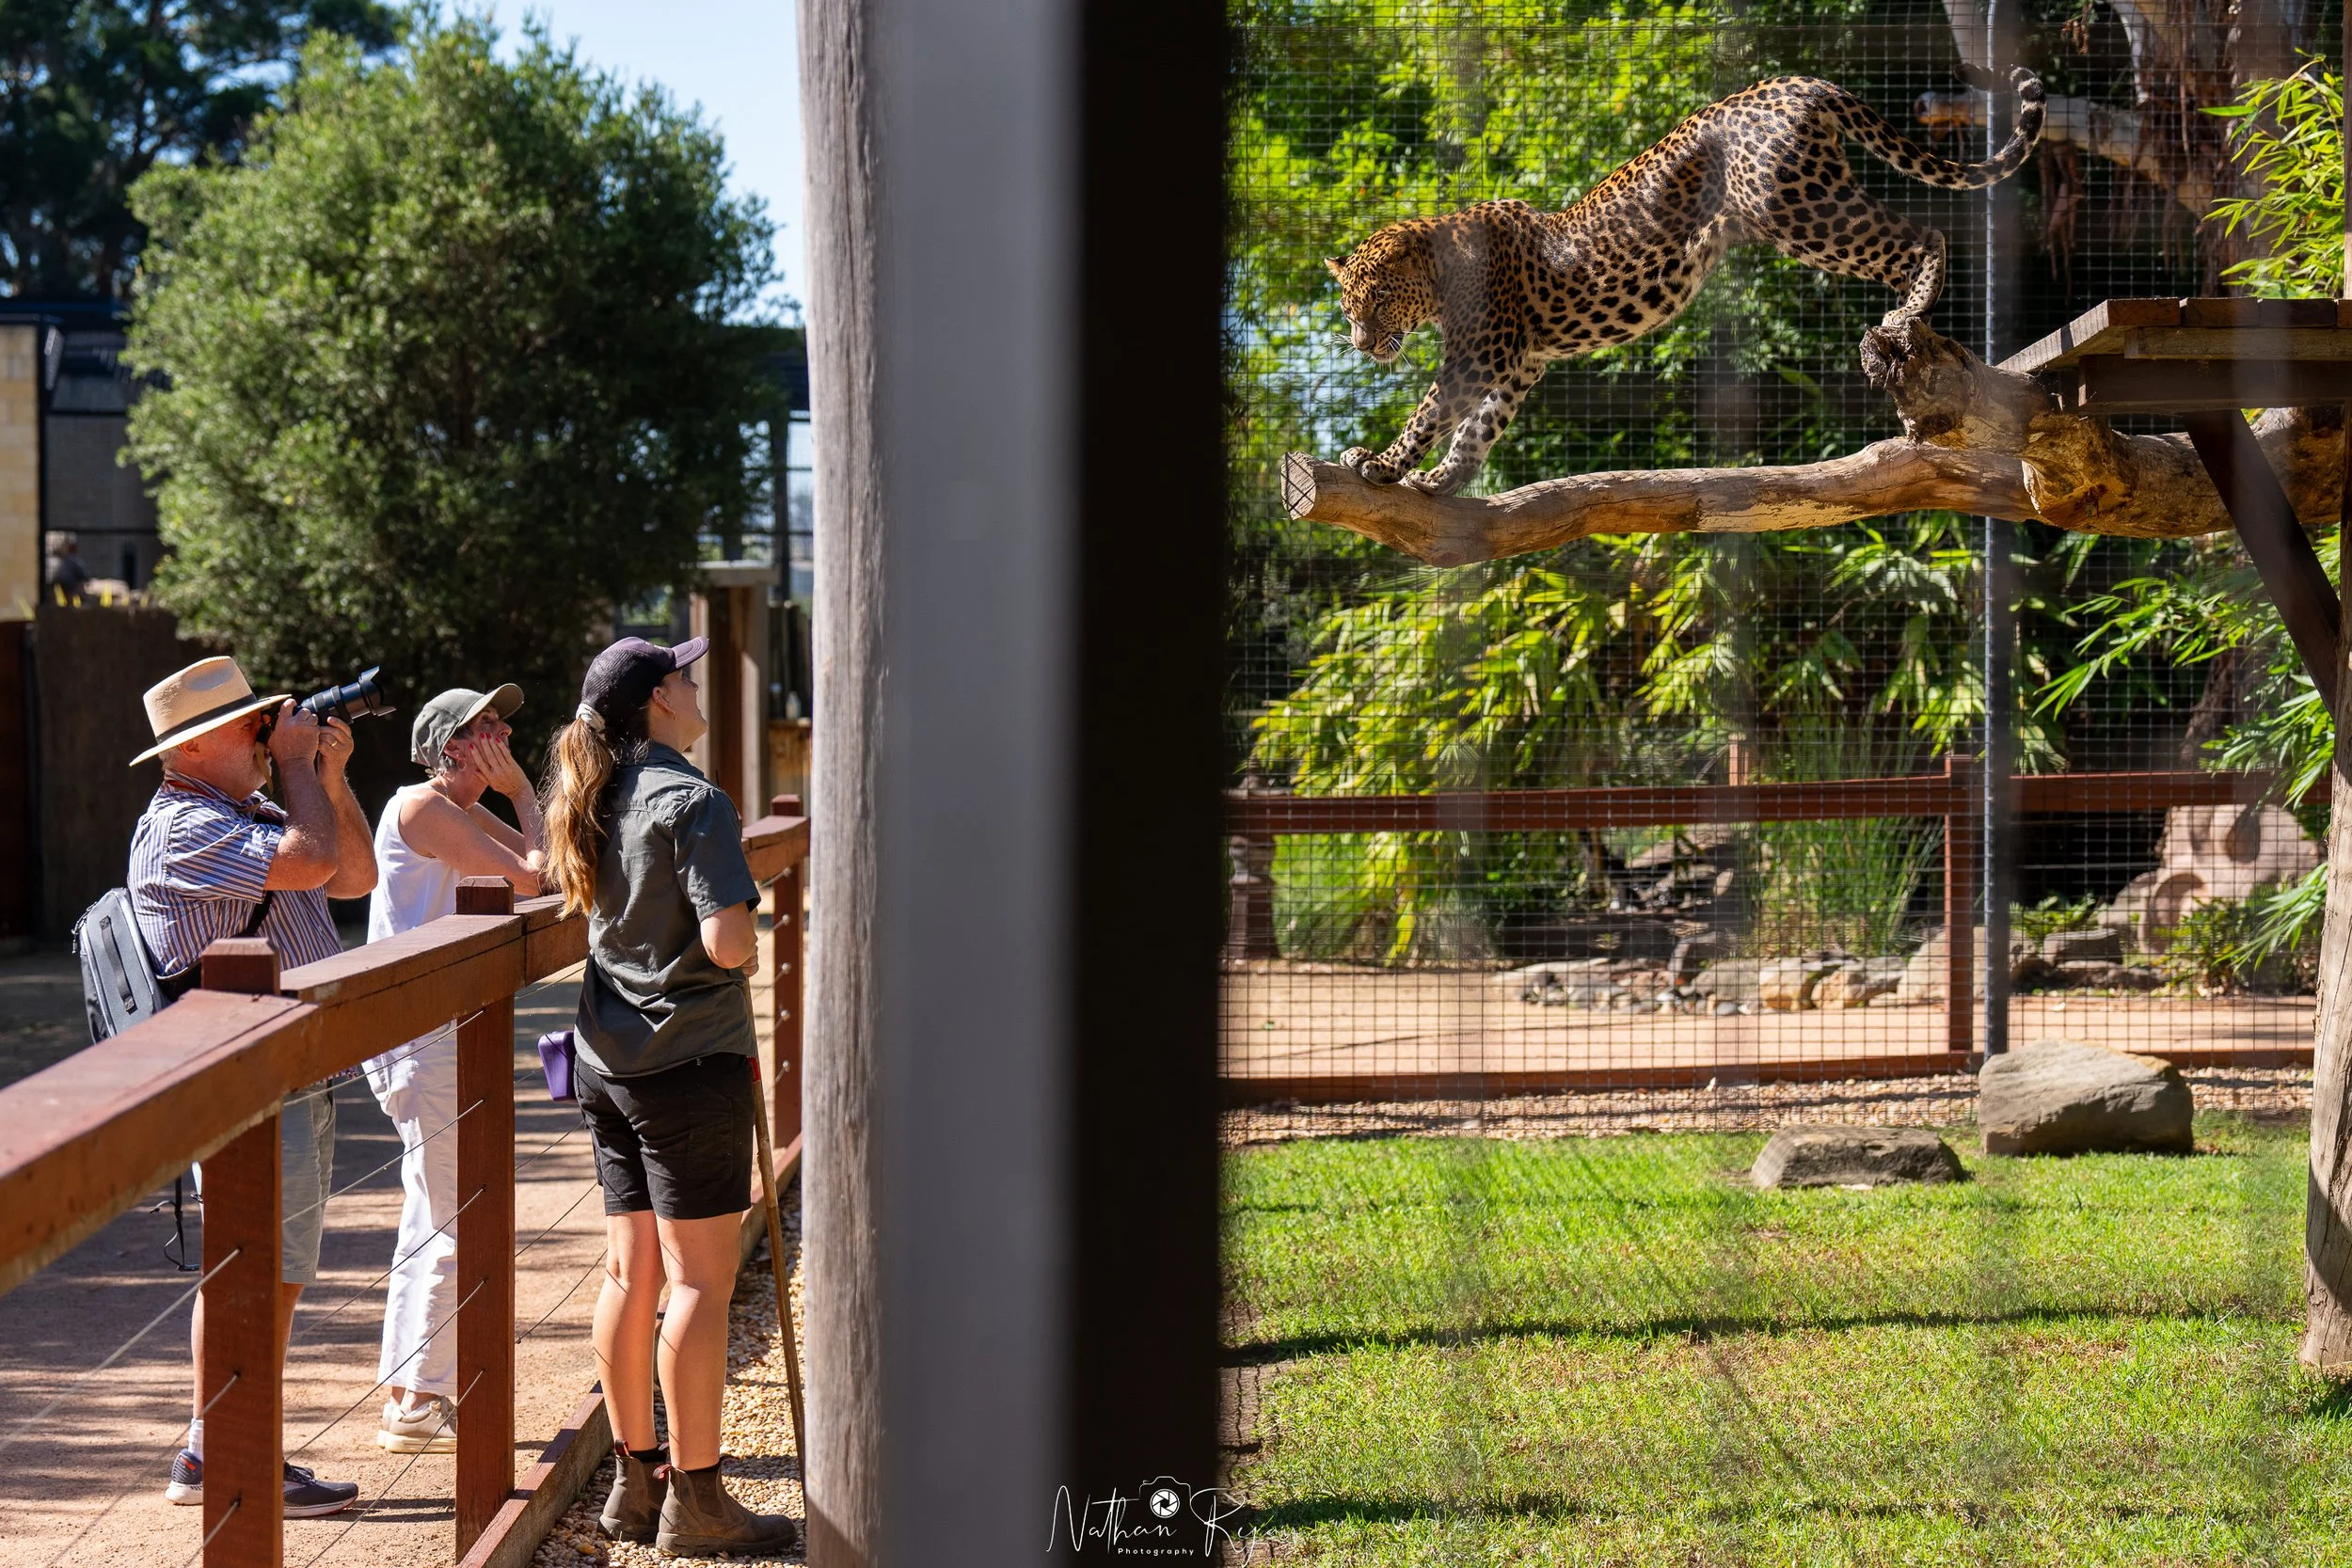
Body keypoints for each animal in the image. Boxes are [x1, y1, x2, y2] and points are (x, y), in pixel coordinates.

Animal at [1327, 67, 2045, 496]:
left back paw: (1906, 313)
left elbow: (1430, 412)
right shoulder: (1519, 363)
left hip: (1798, 208)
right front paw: (1442, 481)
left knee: (1922, 236)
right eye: (1347, 307)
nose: (1362, 343)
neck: (1440, 272)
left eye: (1380, 297)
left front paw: (1380, 464)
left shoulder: (1479, 356)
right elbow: (1479, 428)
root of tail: (1796, 82)